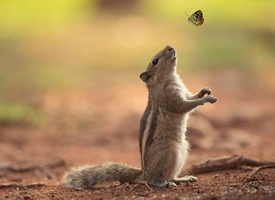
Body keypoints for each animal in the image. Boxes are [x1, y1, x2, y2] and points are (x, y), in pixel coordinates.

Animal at [62, 44, 218, 188]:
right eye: (155, 61)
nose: (170, 47)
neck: (165, 80)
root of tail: (143, 173)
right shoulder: (169, 98)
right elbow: (184, 106)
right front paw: (206, 99)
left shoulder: (184, 93)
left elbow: (191, 98)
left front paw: (204, 91)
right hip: (169, 152)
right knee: (154, 180)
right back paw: (163, 184)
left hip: (183, 149)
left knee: (171, 176)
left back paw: (182, 179)